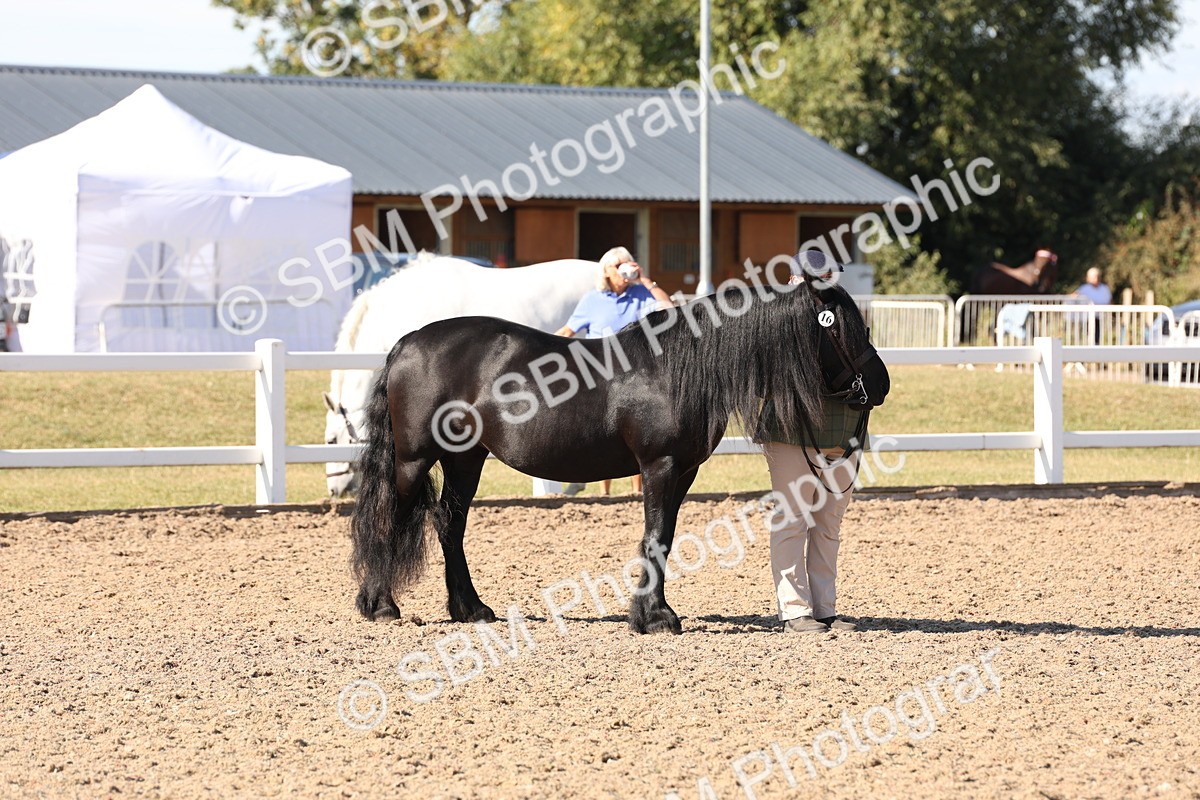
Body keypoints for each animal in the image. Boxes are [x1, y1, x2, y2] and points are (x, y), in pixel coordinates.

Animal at [349, 271, 890, 634]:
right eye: (846, 328)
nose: (881, 384)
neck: (675, 369)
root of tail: (407, 342)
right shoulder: (660, 467)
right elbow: (654, 536)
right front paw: (655, 618)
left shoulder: (684, 473)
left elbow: (664, 539)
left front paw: (654, 613)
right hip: (414, 459)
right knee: (390, 516)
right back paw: (382, 606)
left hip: (466, 458)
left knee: (450, 524)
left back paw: (471, 609)